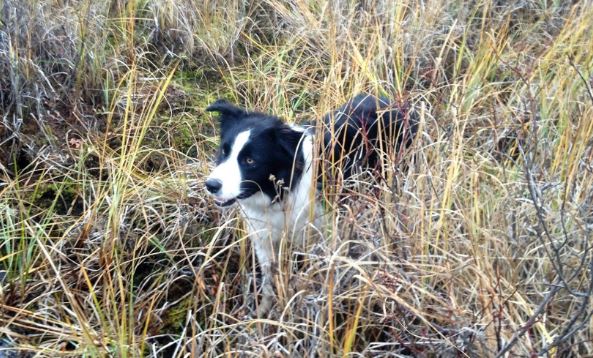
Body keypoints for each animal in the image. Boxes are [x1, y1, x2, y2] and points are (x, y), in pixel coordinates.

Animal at [206, 93, 418, 314]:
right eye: (224, 151)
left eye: (250, 161)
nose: (210, 185)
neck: (282, 192)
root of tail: (395, 102)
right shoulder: (264, 237)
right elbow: (268, 280)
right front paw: (263, 311)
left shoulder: (319, 236)